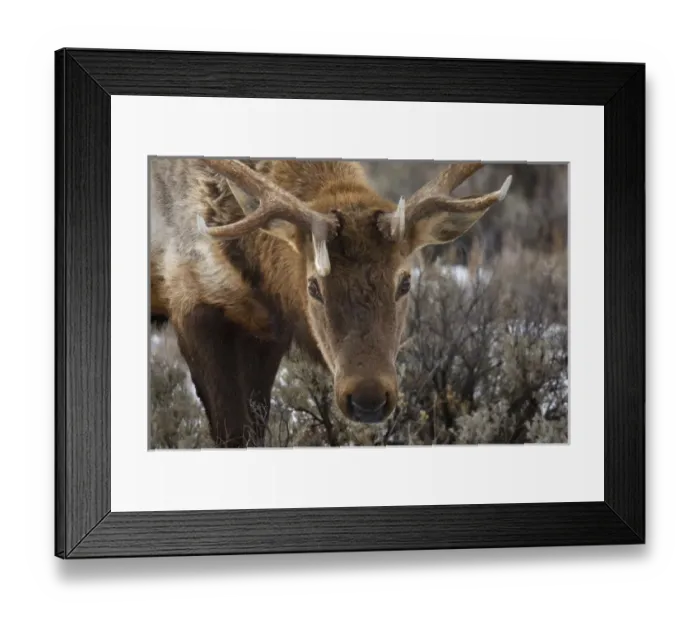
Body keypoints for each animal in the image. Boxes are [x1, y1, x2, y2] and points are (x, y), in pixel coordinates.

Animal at [149, 157, 512, 448]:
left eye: (406, 281)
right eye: (313, 286)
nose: (368, 398)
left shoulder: (264, 328)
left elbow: (255, 428)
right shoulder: (190, 297)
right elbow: (232, 433)